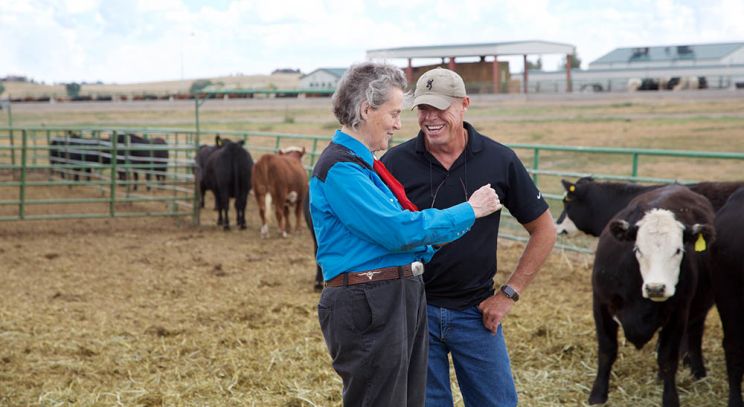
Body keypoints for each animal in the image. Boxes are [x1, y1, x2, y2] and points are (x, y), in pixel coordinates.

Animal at [588, 186, 716, 407]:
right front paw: (597, 395)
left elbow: (668, 358)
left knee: (694, 333)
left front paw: (670, 399)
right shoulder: (601, 304)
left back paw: (698, 371)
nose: (656, 288)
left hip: (700, 306)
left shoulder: (679, 312)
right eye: (638, 249)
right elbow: (607, 350)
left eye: (678, 250)